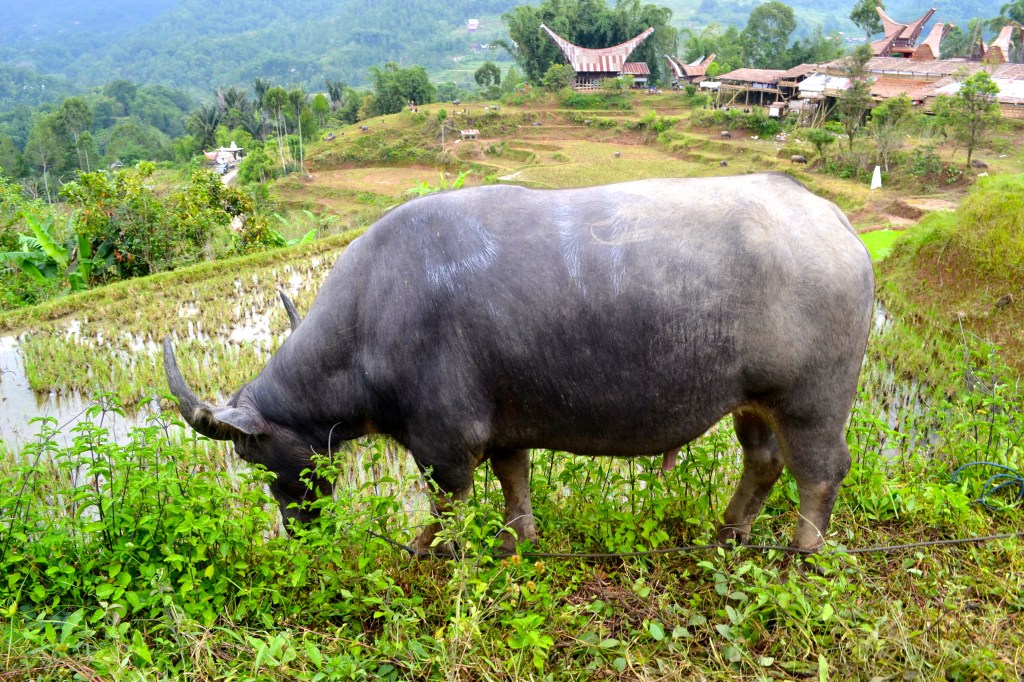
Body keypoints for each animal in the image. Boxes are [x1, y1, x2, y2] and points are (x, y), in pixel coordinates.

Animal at [164, 174, 873, 555]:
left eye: (254, 457)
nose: (296, 529)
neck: (368, 317)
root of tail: (835, 221)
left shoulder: (443, 442)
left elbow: (448, 502)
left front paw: (429, 548)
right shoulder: (505, 431)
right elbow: (515, 484)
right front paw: (517, 541)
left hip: (811, 403)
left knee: (819, 471)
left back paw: (801, 547)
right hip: (753, 401)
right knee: (764, 462)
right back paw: (727, 532)